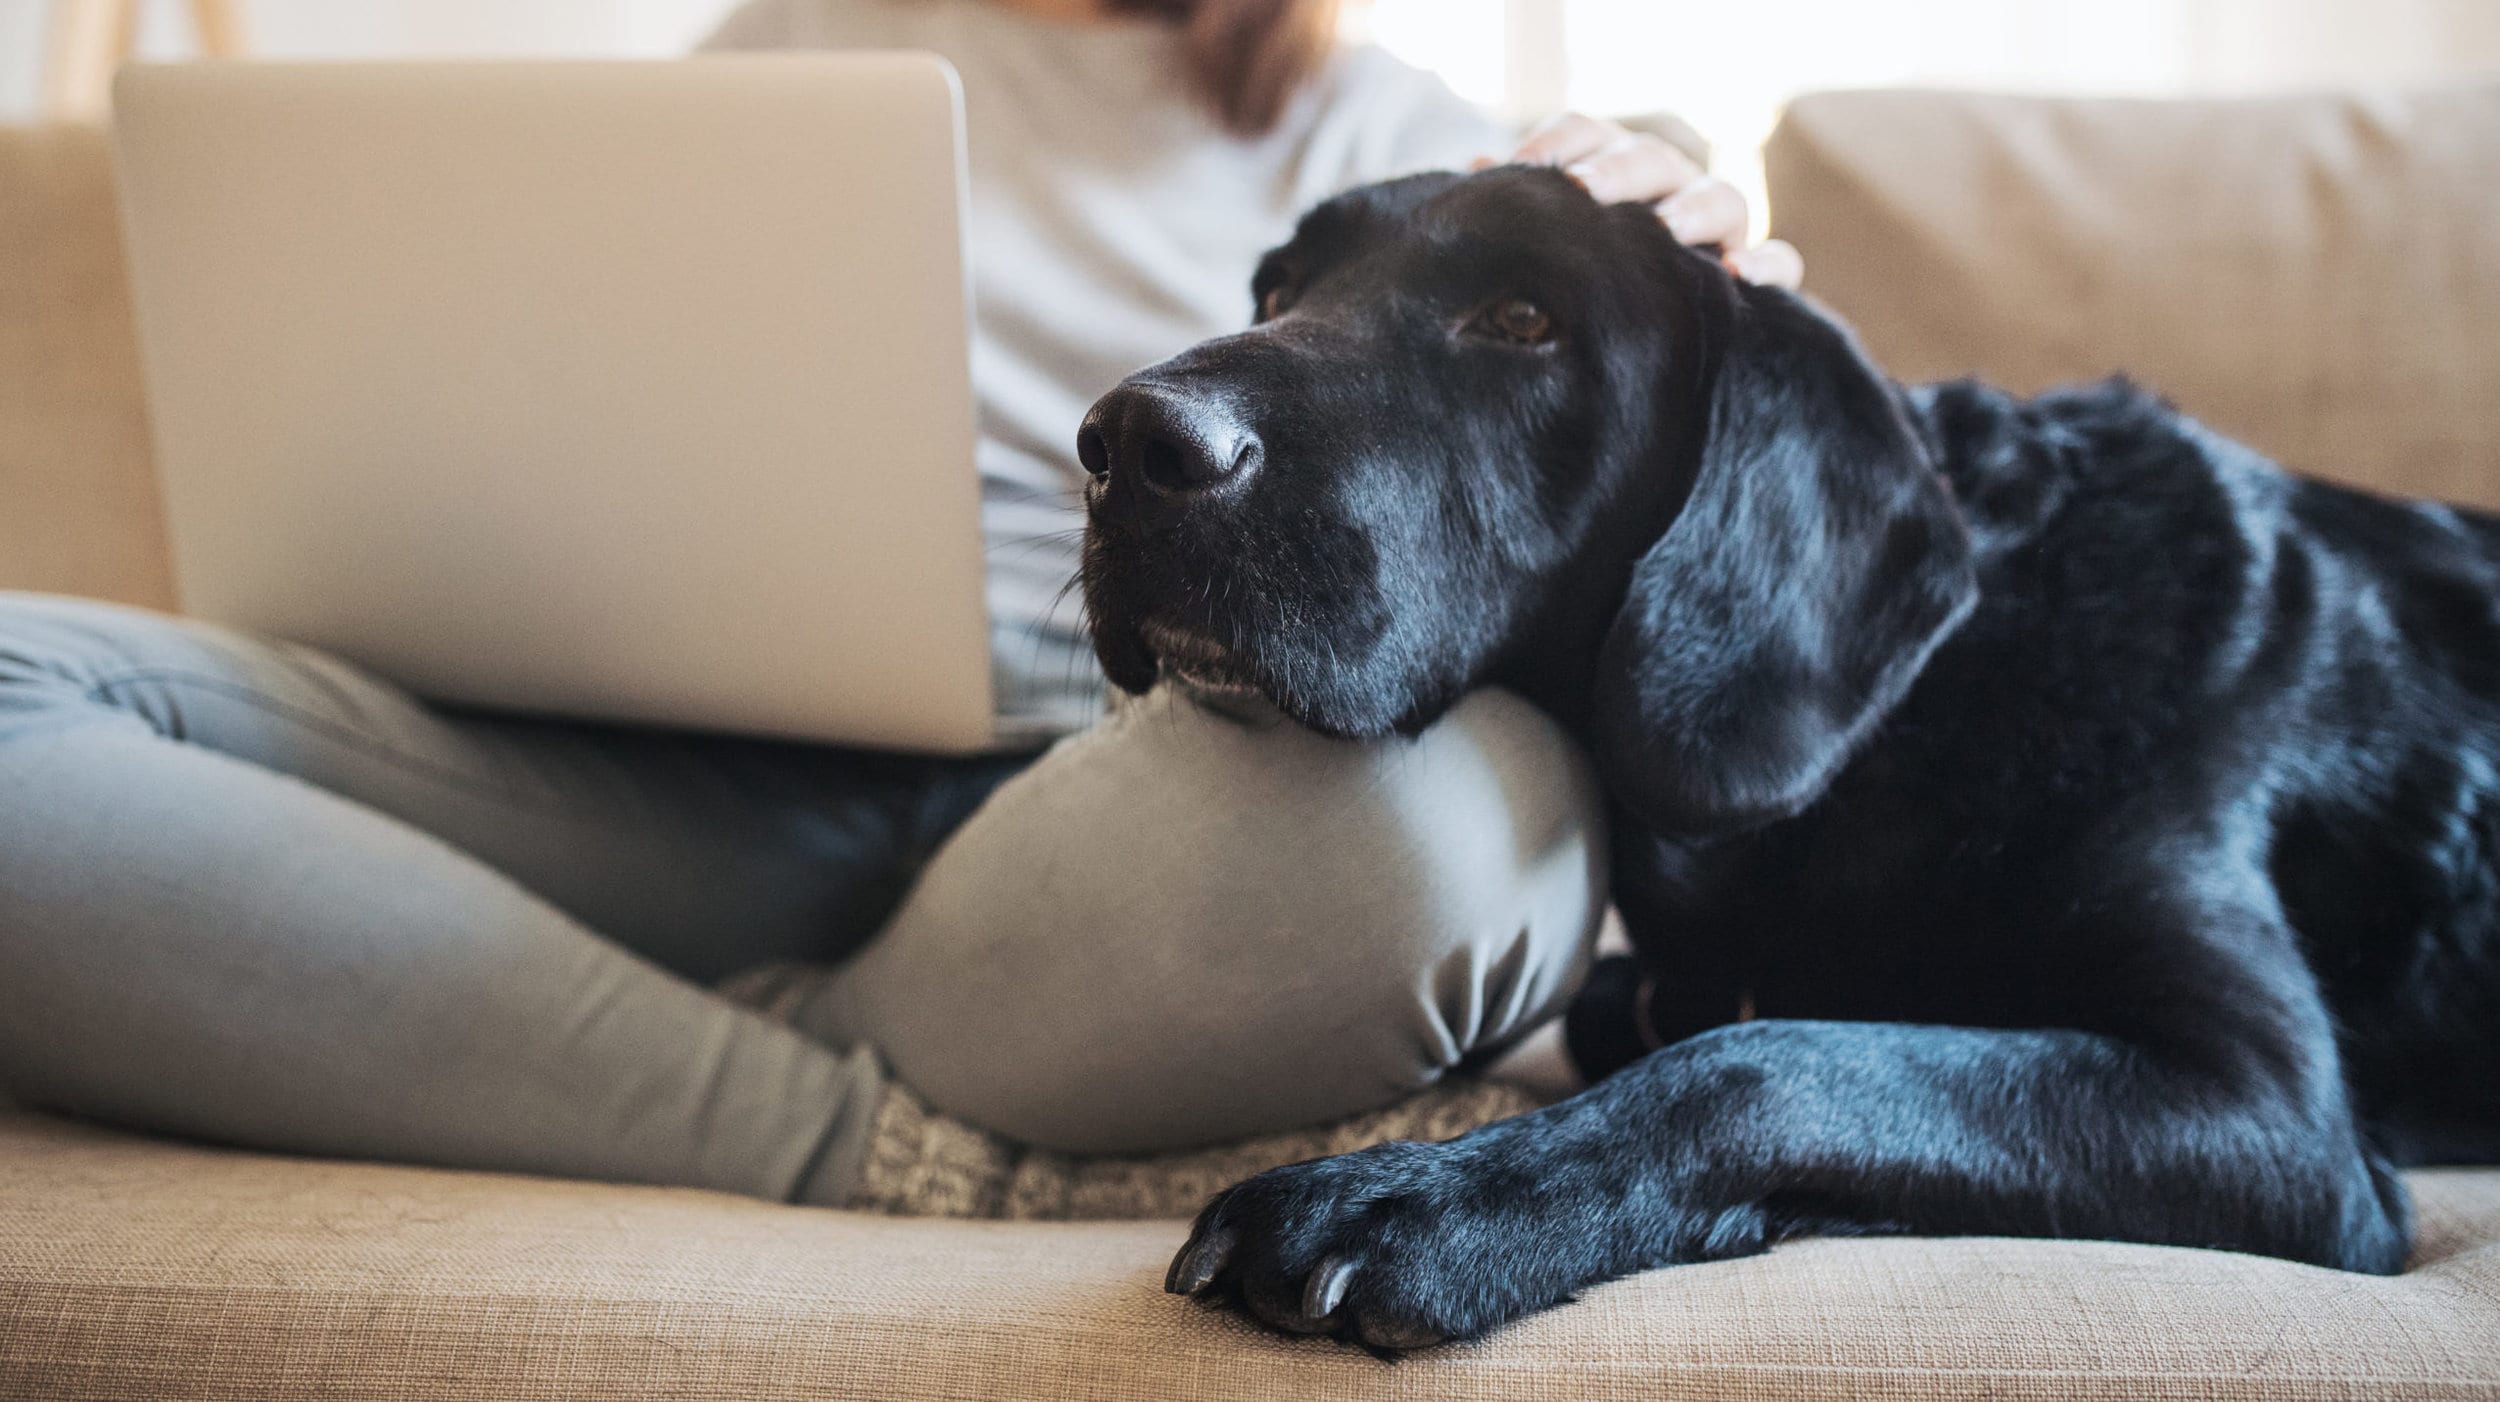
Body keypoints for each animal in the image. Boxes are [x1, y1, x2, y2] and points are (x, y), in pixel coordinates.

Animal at [1075, 163, 2500, 1349]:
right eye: (1278, 288)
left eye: (1524, 319)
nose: (1126, 445)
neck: (1911, 718)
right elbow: (1707, 1027)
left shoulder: (2269, 1109)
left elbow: (1771, 1058)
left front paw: (1418, 1201)